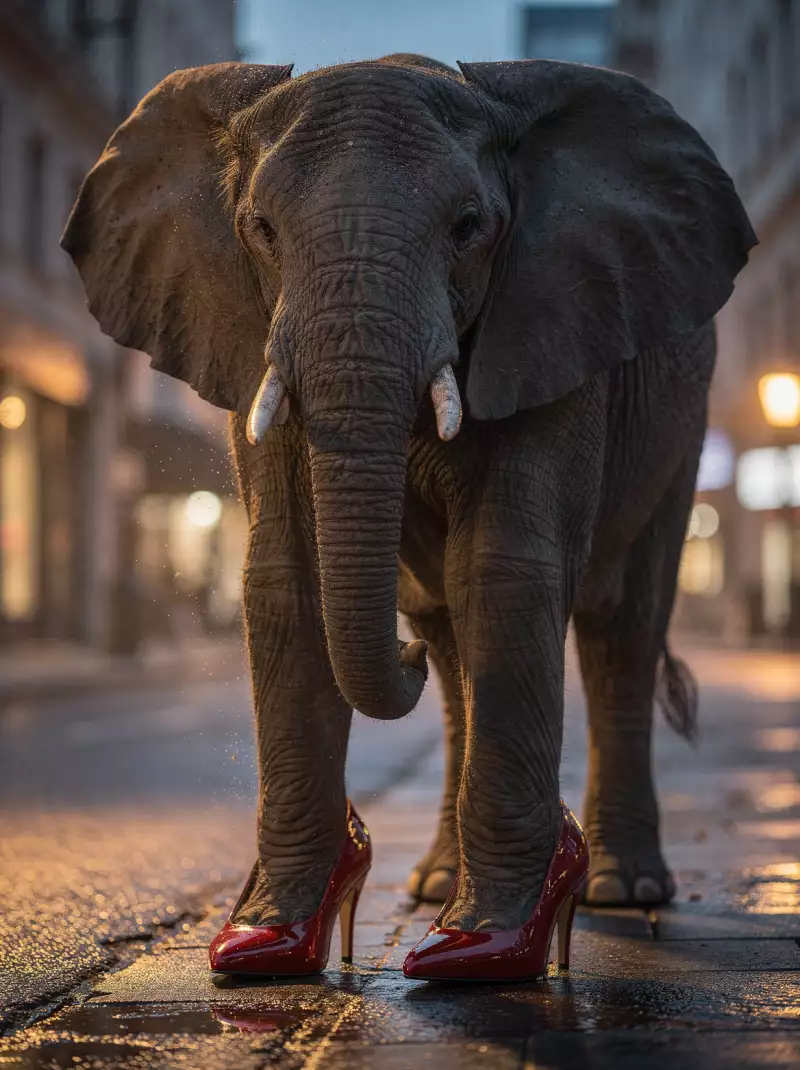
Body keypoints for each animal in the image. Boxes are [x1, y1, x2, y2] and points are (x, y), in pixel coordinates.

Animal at [63, 54, 755, 932]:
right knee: (455, 647)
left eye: (468, 227)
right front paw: (271, 931)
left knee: (621, 631)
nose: (401, 654)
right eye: (260, 229)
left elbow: (505, 572)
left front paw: (489, 935)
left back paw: (620, 891)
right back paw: (436, 879)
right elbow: (284, 577)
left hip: (681, 426)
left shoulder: (553, 319)